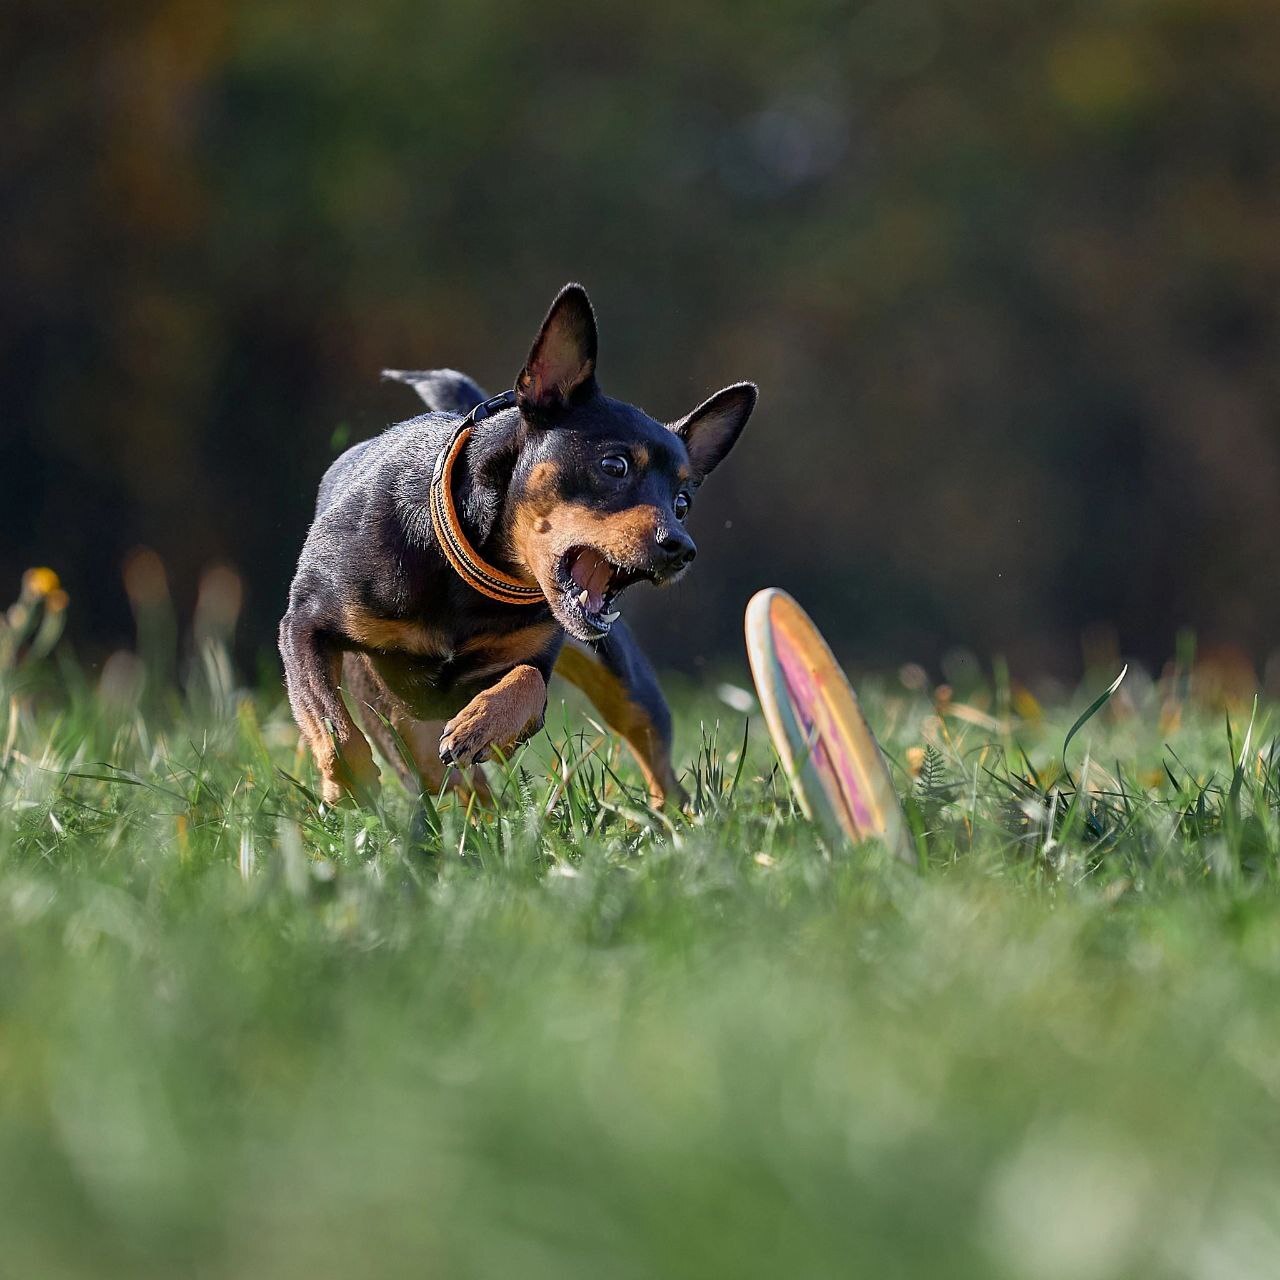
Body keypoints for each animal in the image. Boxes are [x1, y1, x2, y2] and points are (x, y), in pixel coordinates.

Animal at [280, 288, 752, 808]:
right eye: (614, 465)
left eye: (683, 503)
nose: (681, 548)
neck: (471, 571)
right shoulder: (304, 625)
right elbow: (329, 719)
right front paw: (347, 783)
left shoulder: (534, 661)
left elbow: (526, 683)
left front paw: (480, 725)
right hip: (394, 714)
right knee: (436, 773)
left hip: (625, 682)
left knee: (655, 759)